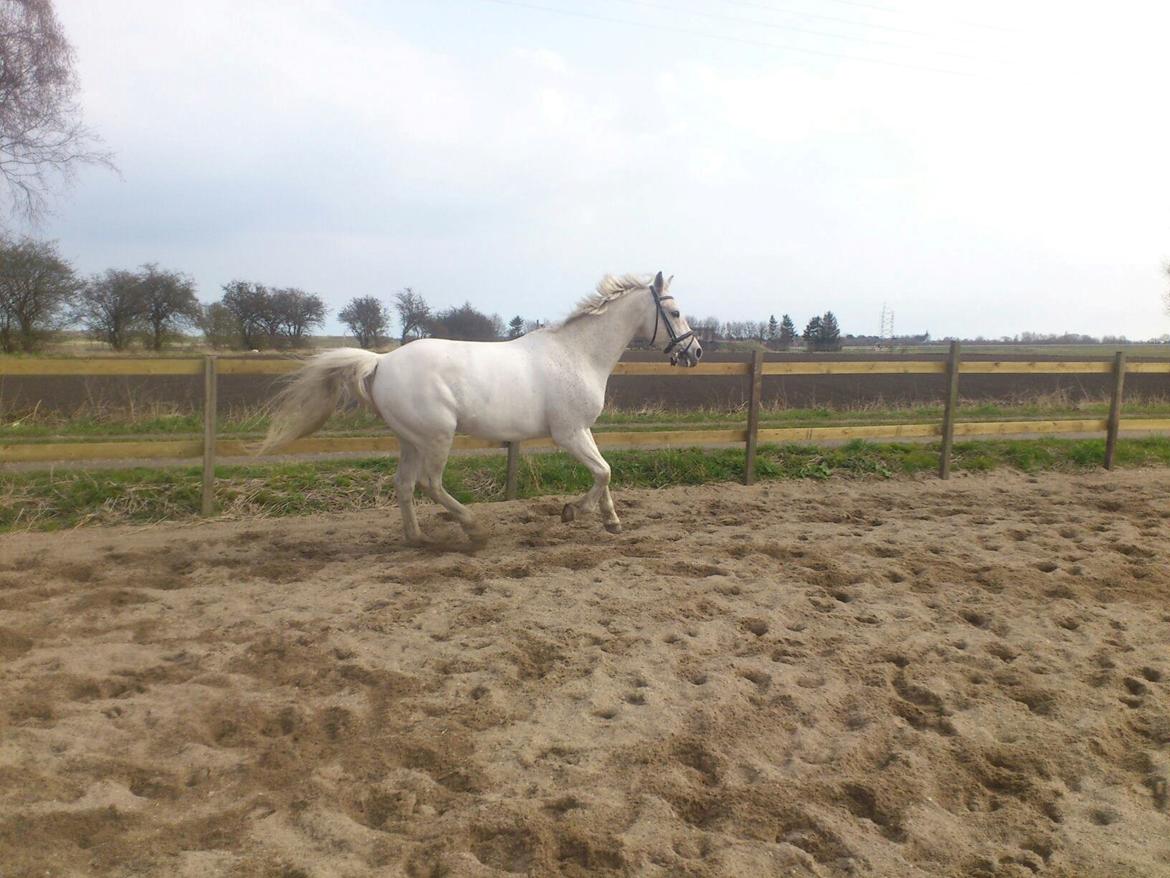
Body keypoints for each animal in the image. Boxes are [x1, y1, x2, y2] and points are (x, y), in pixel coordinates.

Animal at [259, 271, 702, 543]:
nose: (695, 352)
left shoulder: (582, 429)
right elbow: (604, 471)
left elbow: (604, 471)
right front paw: (572, 512)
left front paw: (610, 521)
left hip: (411, 440)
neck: (577, 353)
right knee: (430, 484)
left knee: (404, 485)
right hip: (438, 437)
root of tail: (381, 362)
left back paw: (418, 538)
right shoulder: (568, 434)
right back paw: (473, 528)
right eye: (675, 312)